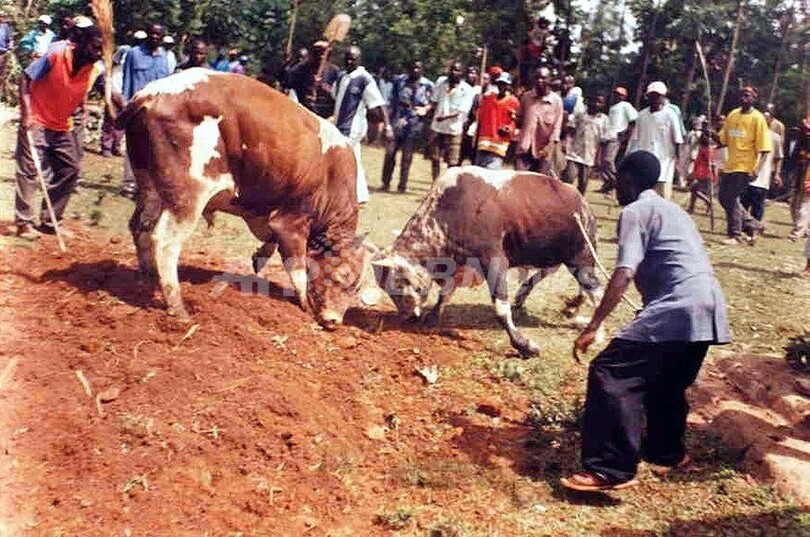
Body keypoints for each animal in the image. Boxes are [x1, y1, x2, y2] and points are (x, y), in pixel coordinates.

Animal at [117, 68, 365, 327]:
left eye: (356, 287)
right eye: (343, 278)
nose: (334, 321)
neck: (331, 171)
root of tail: (151, 93)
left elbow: (270, 242)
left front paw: (260, 257)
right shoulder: (293, 221)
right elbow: (297, 268)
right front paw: (304, 307)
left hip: (150, 187)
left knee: (140, 227)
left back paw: (147, 278)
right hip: (187, 197)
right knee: (166, 241)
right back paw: (177, 307)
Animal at [370, 166, 603, 357]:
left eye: (398, 283)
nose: (407, 317)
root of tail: (580, 199)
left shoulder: (494, 261)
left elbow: (500, 308)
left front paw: (525, 345)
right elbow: (445, 294)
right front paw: (432, 318)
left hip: (581, 256)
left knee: (595, 289)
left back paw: (595, 332)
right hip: (555, 256)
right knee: (550, 274)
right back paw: (556, 303)